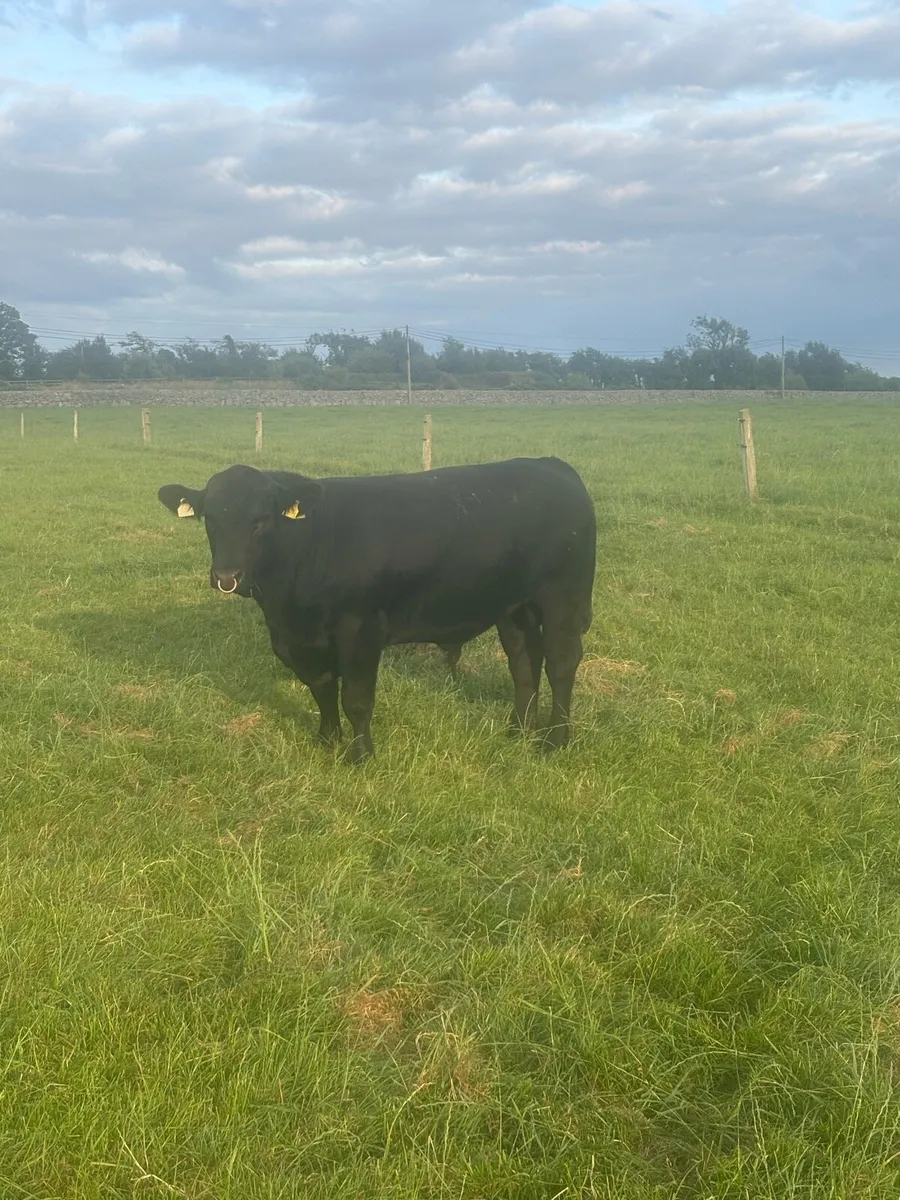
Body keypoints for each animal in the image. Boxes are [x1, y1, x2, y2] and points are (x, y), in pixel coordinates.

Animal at [158, 457, 596, 763]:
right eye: (210, 518)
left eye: (261, 519)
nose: (226, 576)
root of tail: (551, 465)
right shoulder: (299, 641)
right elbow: (321, 688)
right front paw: (327, 740)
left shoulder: (360, 631)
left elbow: (355, 697)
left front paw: (361, 756)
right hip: (513, 607)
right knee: (524, 663)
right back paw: (518, 731)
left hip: (563, 598)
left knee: (560, 664)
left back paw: (554, 741)